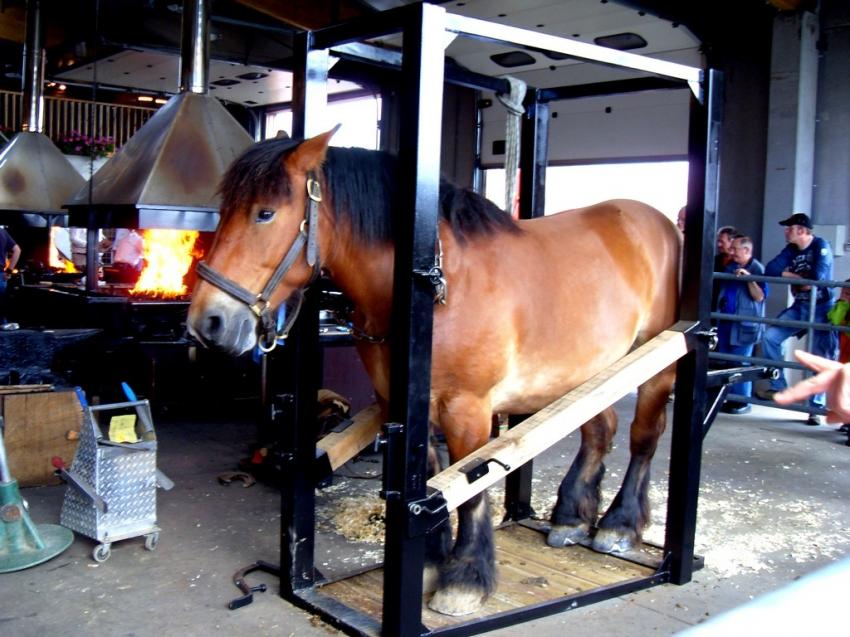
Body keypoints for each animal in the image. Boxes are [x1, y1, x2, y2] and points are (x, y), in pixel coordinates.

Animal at [186, 130, 676, 616]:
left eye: (265, 213)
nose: (207, 323)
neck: (432, 291)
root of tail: (657, 222)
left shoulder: (468, 410)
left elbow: (469, 488)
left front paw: (465, 580)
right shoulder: (405, 404)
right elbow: (428, 476)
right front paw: (429, 564)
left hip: (653, 367)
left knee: (643, 437)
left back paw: (618, 526)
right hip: (590, 375)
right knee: (600, 430)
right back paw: (572, 519)